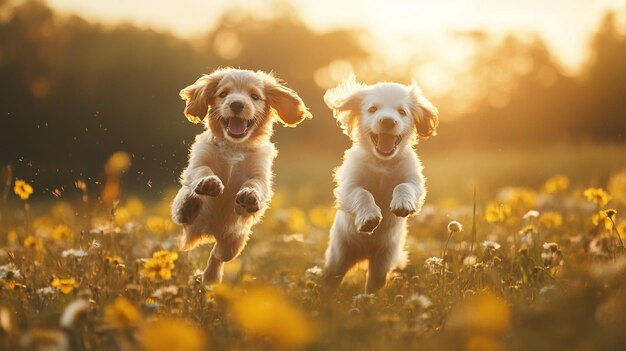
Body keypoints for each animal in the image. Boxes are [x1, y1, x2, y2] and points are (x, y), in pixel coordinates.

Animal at [171, 68, 310, 286]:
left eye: (254, 96)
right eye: (223, 94)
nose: (236, 104)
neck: (234, 147)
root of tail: (210, 231)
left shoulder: (260, 175)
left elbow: (255, 184)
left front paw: (249, 197)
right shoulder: (198, 162)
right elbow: (203, 170)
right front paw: (209, 183)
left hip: (234, 241)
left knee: (217, 255)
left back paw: (210, 278)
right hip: (185, 214)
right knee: (183, 211)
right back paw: (189, 207)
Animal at [320, 76, 436, 294]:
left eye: (402, 111)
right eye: (372, 109)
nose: (387, 121)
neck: (382, 162)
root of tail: (364, 255)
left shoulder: (413, 181)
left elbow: (403, 187)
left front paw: (402, 204)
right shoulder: (349, 186)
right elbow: (363, 194)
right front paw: (369, 217)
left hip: (383, 261)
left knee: (372, 283)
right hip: (339, 256)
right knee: (331, 280)